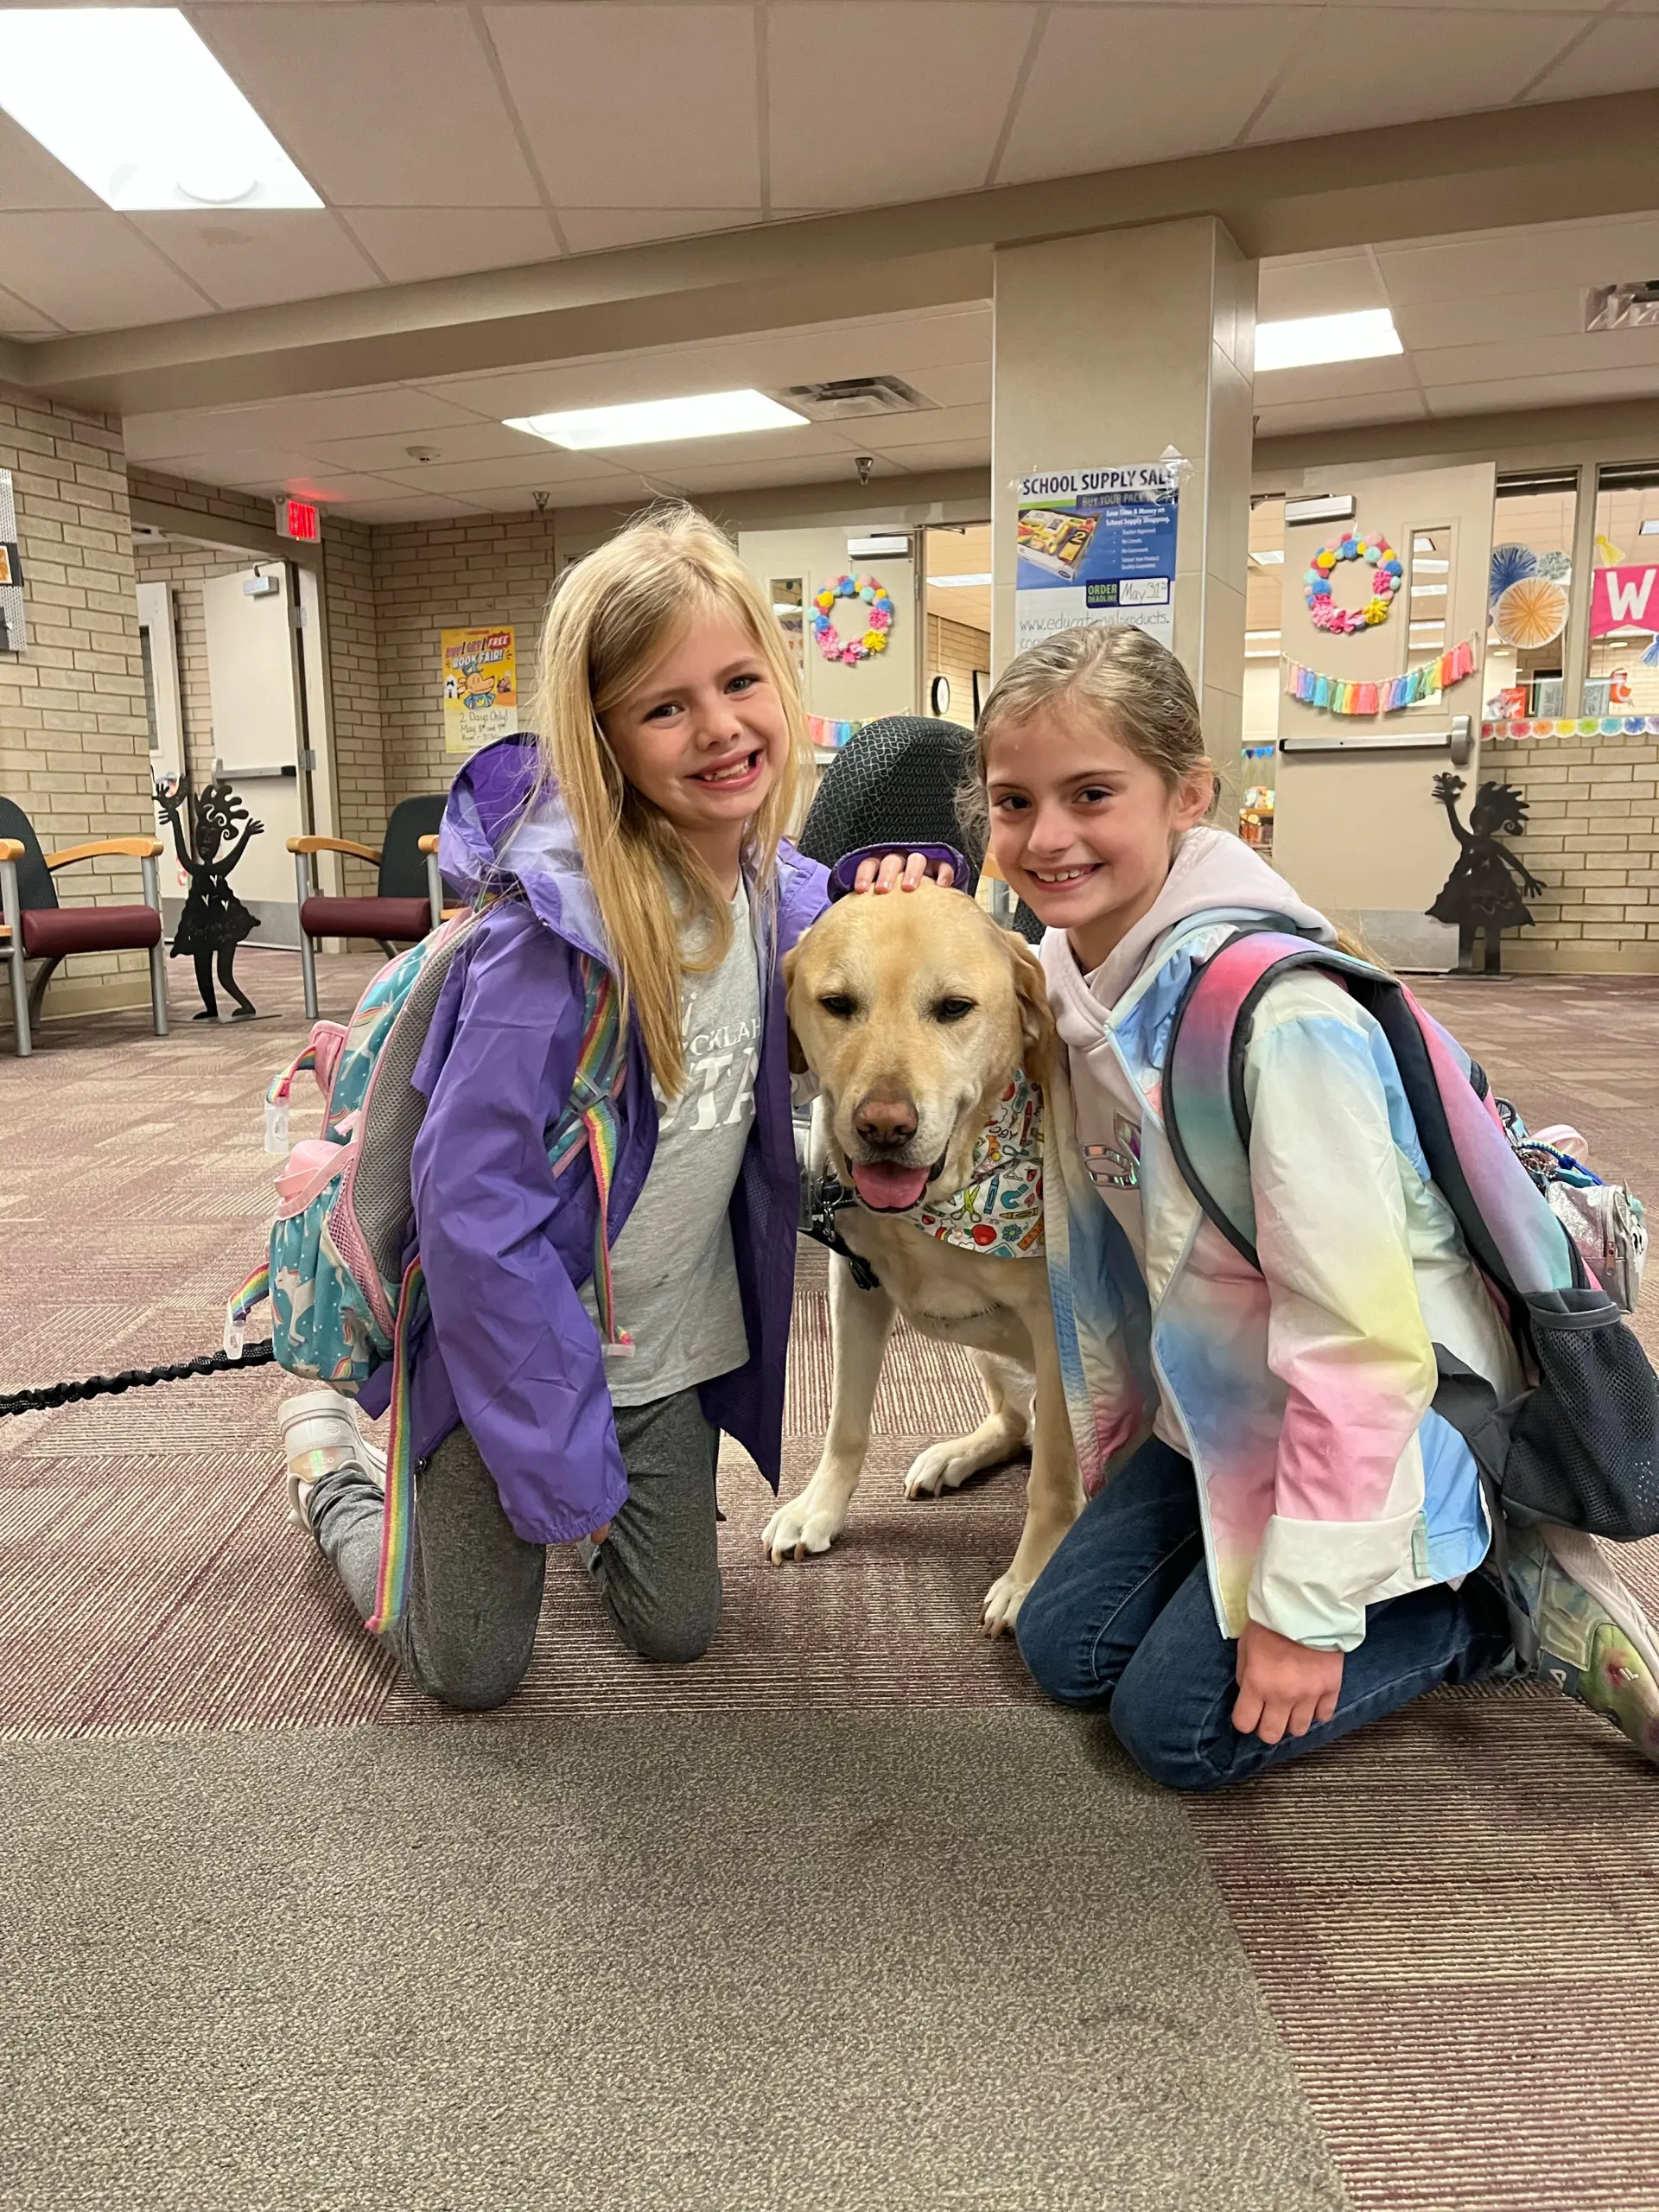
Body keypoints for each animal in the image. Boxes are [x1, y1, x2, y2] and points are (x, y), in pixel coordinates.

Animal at [762, 879, 1083, 1633]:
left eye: (954, 1009)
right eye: (838, 1004)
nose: (884, 1126)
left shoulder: (1058, 1328)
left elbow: (1055, 1477)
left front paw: (1031, 1578)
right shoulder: (855, 1287)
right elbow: (846, 1425)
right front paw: (818, 1508)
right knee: (1014, 1423)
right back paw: (954, 1455)